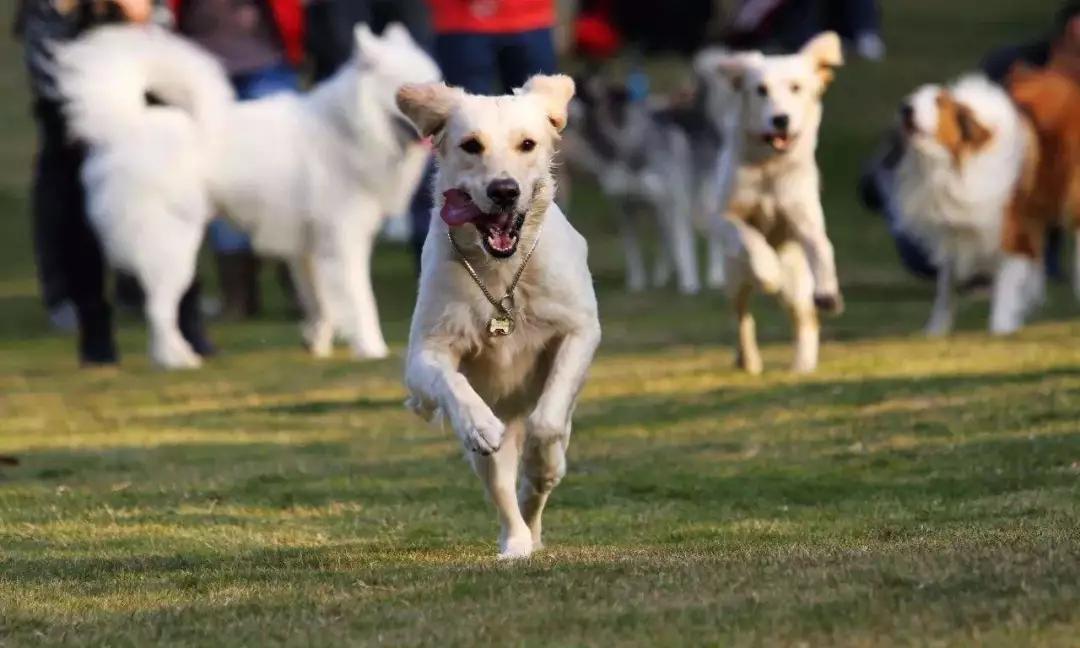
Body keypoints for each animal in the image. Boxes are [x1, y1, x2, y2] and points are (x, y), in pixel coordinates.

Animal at [53, 25, 442, 367]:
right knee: (158, 310)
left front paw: (317, 343)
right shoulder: (343, 243)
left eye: (435, 82)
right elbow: (361, 302)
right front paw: (372, 348)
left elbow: (321, 305)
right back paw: (176, 360)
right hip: (174, 247)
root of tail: (124, 127)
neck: (347, 128)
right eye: (406, 90)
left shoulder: (309, 252)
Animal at [399, 74, 604, 557]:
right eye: (471, 145)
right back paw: (516, 543)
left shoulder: (580, 329)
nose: (504, 190)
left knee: (537, 477)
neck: (501, 274)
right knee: (502, 489)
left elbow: (546, 424)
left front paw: (541, 464)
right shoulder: (424, 353)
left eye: (527, 144)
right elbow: (452, 384)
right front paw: (478, 424)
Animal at [704, 32, 846, 371]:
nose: (780, 119)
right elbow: (747, 236)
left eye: (796, 87)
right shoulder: (722, 217)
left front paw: (829, 292)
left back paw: (803, 365)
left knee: (806, 319)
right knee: (742, 317)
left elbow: (822, 246)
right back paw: (749, 360)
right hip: (735, 281)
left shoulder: (804, 219)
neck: (770, 167)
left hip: (797, 286)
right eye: (760, 89)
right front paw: (767, 268)